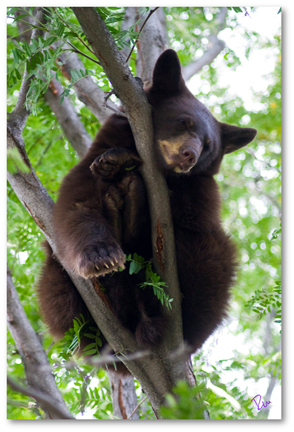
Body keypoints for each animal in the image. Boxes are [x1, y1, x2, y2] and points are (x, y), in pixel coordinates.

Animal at [37, 49, 258, 362]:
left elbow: (191, 216)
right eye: (184, 122)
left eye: (208, 145)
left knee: (207, 256)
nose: (190, 155)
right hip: (60, 297)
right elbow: (78, 204)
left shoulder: (201, 190)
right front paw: (101, 256)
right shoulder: (95, 154)